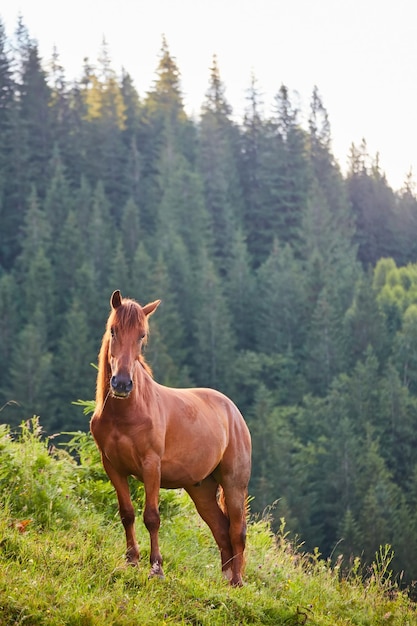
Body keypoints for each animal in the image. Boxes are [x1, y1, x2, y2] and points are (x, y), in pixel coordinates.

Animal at [90, 290, 250, 584]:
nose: (122, 383)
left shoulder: (151, 466)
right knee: (221, 530)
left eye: (142, 335)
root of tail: (233, 411)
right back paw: (224, 581)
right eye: (113, 330)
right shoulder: (113, 467)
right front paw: (131, 561)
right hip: (201, 489)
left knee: (237, 531)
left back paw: (236, 582)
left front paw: (156, 568)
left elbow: (152, 517)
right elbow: (127, 514)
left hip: (234, 484)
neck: (126, 413)